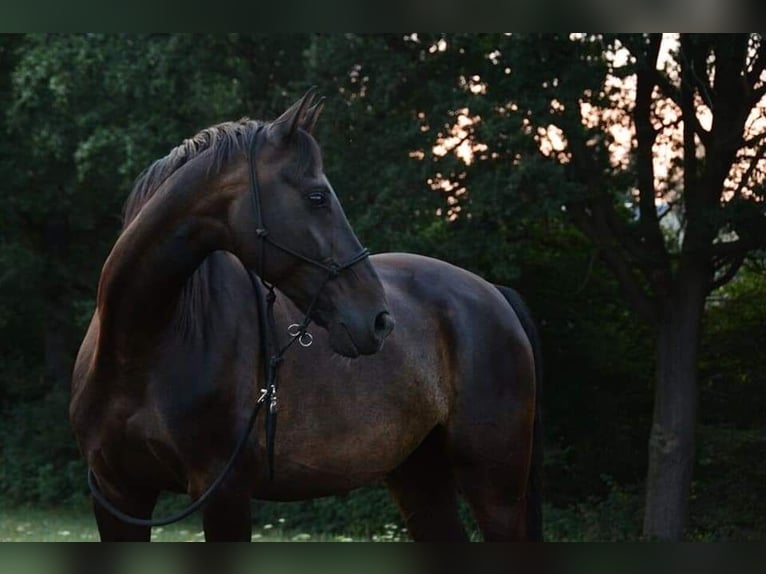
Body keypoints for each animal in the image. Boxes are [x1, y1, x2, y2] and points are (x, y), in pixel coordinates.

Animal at [69, 91, 544, 544]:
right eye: (317, 197)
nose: (379, 321)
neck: (141, 346)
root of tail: (494, 295)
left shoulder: (225, 493)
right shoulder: (118, 495)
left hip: (495, 488)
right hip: (418, 475)